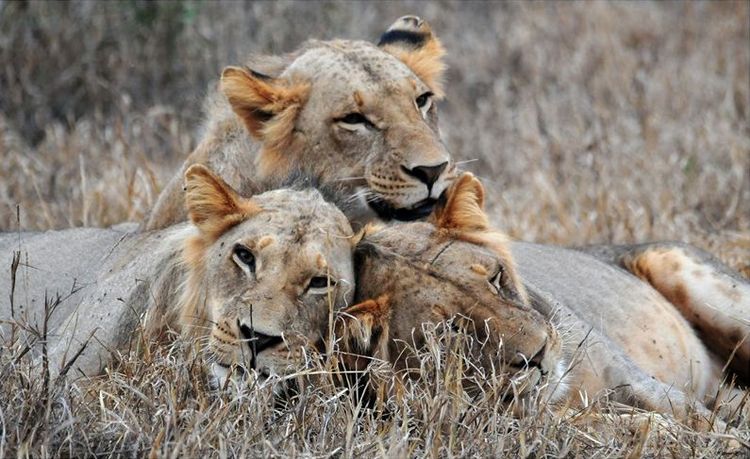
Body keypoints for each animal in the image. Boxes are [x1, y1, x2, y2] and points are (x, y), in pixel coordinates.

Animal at [335, 173, 750, 431]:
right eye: (450, 332)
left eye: (496, 277)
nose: (540, 356)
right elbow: (612, 427)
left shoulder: (638, 381)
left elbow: (703, 425)